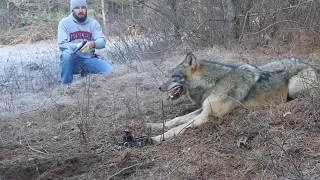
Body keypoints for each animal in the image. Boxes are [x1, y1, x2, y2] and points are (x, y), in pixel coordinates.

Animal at [147, 51, 318, 142]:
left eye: (173, 77)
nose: (159, 88)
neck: (214, 83)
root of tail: (313, 66)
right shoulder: (203, 109)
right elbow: (176, 120)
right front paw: (153, 126)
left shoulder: (206, 117)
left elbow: (176, 128)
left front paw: (154, 138)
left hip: (294, 87)